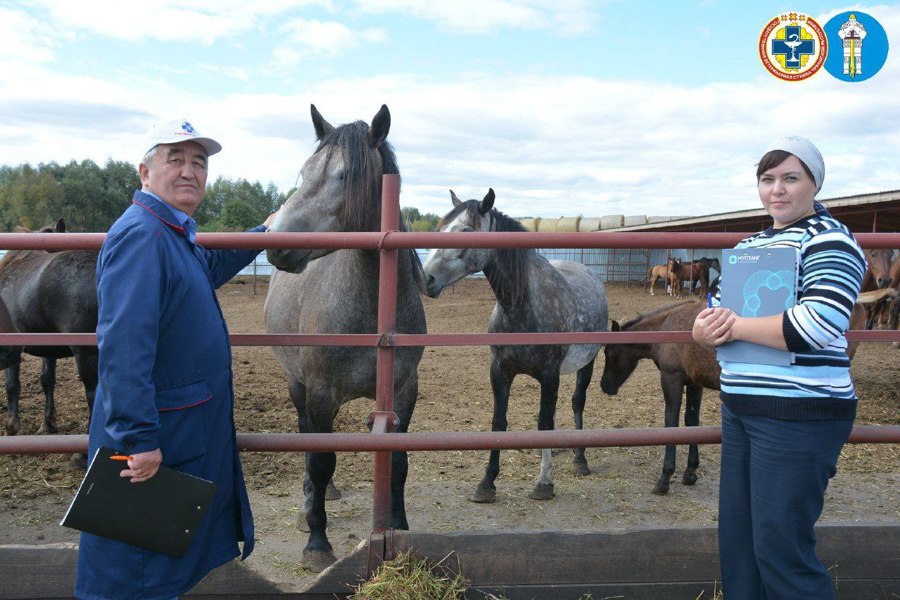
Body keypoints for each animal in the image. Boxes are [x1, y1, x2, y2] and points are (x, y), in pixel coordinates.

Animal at [266, 105, 428, 576]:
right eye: (304, 172)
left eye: (342, 176)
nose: (275, 245)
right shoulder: (320, 393)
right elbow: (321, 461)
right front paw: (318, 543)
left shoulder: (403, 390)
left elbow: (398, 465)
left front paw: (399, 527)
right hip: (298, 386)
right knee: (308, 441)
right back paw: (308, 507)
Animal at [424, 190, 608, 504]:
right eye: (440, 229)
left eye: (466, 230)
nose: (426, 278)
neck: (522, 306)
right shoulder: (500, 371)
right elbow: (500, 421)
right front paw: (487, 483)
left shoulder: (549, 374)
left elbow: (544, 421)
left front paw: (544, 483)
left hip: (586, 364)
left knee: (577, 402)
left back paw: (579, 459)